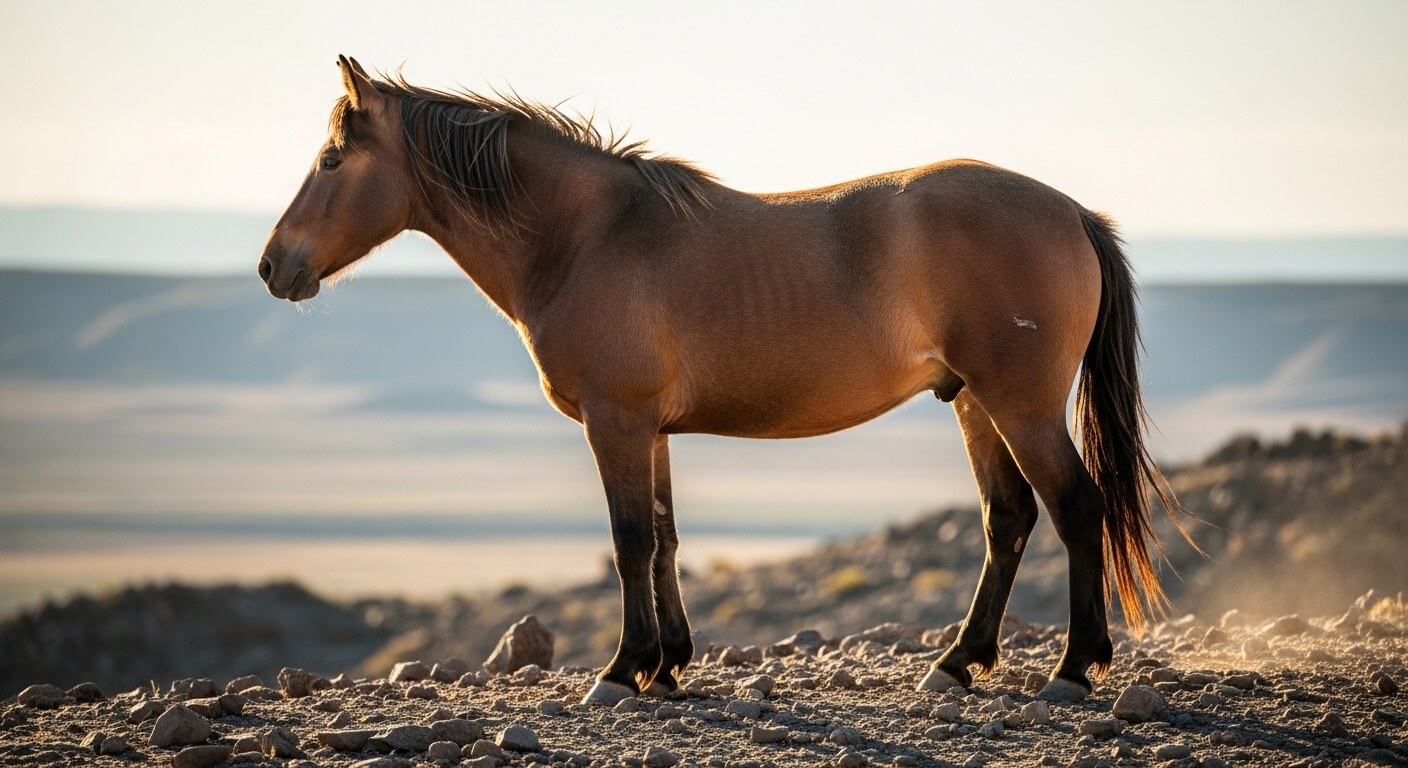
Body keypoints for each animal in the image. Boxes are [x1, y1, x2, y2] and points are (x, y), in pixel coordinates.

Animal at [260, 56, 1189, 705]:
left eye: (333, 160)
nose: (274, 267)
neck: (589, 236)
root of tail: (1071, 211)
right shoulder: (652, 430)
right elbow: (666, 538)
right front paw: (668, 667)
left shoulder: (617, 422)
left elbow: (630, 541)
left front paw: (622, 670)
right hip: (975, 405)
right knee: (1009, 519)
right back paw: (956, 664)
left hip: (1019, 405)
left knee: (1075, 509)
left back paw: (1069, 670)